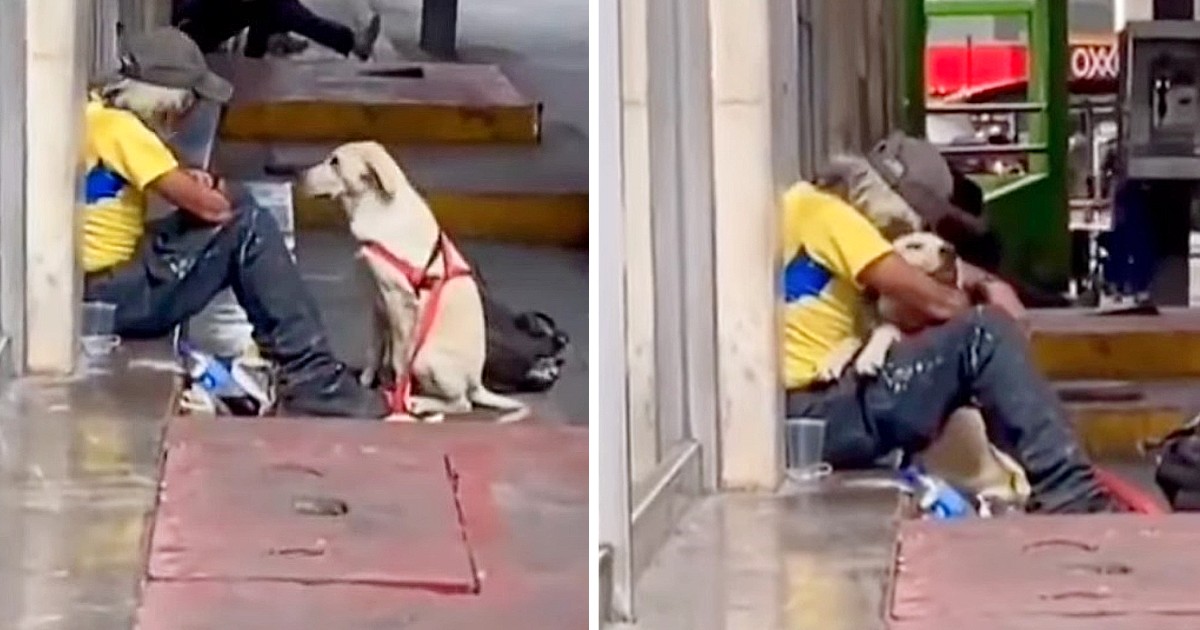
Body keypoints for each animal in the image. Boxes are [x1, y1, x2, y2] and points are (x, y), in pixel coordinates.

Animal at [297, 139, 528, 420]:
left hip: (425, 357)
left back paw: (420, 401)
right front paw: (368, 379)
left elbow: (398, 360)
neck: (375, 206)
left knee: (462, 403)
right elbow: (375, 349)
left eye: (335, 162)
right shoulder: (378, 303)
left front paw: (397, 392)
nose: (298, 176)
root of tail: (477, 384)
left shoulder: (399, 304)